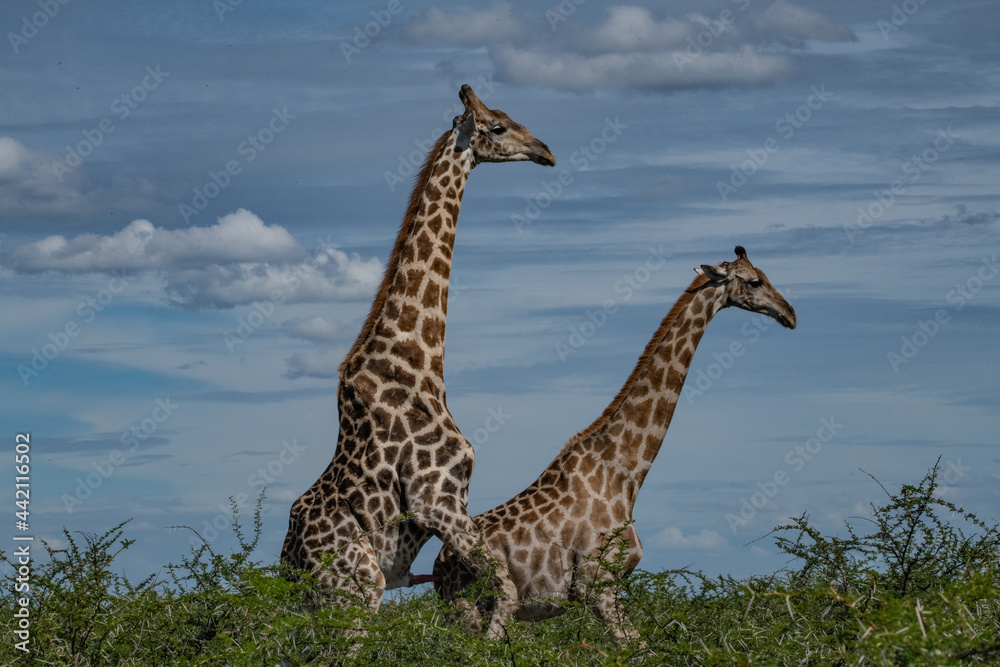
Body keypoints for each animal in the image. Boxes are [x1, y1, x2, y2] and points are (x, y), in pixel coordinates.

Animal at [280, 85, 555, 635]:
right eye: (497, 126)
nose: (545, 152)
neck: (419, 362)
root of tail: (288, 564)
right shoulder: (438, 502)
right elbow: (505, 590)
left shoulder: (451, 514)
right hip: (358, 589)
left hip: (322, 603)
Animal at [433, 246, 796, 639]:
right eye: (755, 281)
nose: (790, 314)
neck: (625, 474)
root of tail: (437, 568)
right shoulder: (599, 585)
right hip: (481, 606)